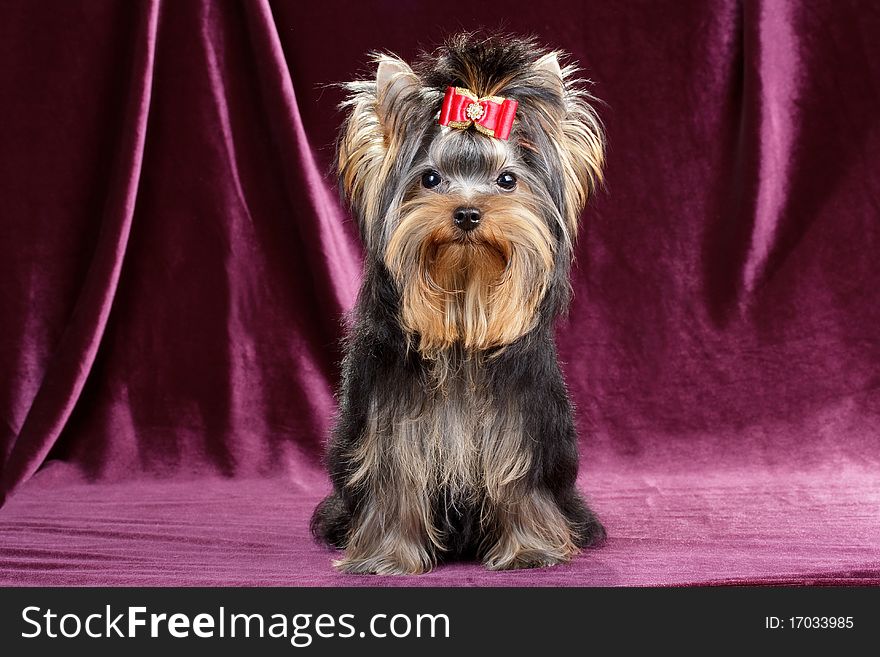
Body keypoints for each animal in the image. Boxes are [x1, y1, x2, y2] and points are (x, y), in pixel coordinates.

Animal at [310, 32, 604, 576]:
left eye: (507, 180)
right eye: (430, 179)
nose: (467, 212)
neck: (463, 320)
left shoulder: (520, 428)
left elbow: (518, 483)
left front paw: (530, 550)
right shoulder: (393, 428)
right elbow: (395, 481)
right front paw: (387, 556)